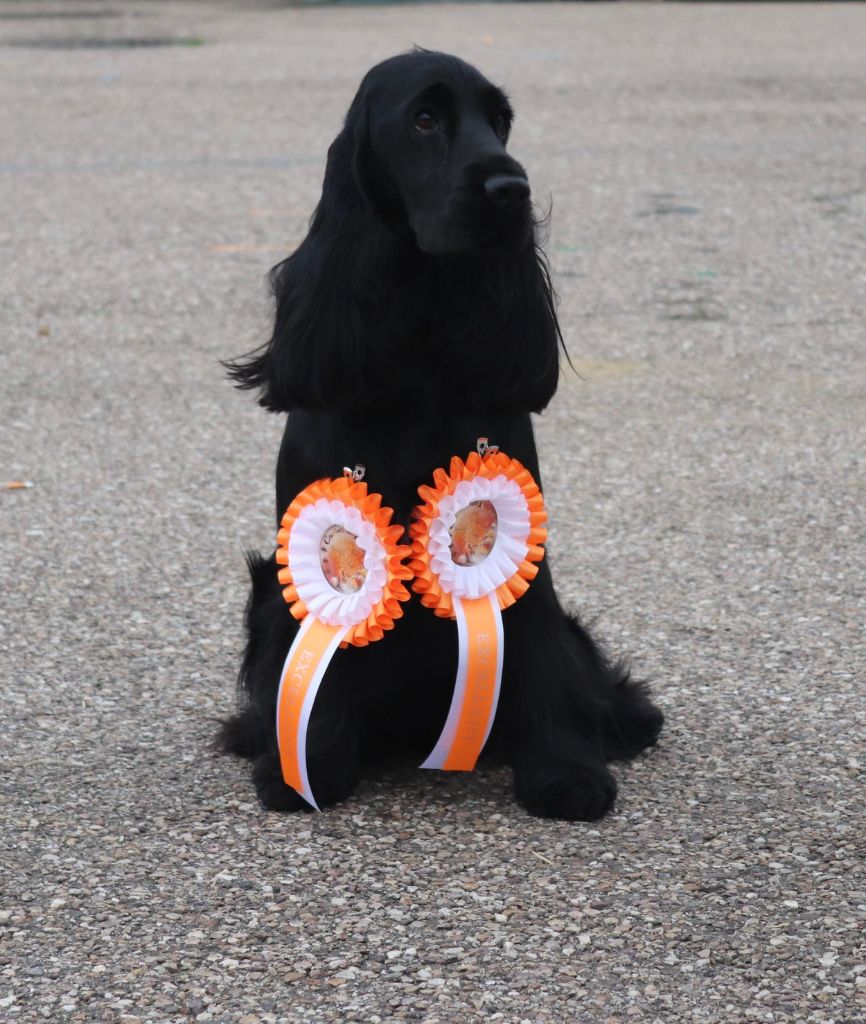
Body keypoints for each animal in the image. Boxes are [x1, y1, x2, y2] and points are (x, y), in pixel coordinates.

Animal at [217, 49, 663, 823]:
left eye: (501, 120)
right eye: (425, 118)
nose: (512, 189)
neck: (420, 340)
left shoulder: (524, 566)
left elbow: (540, 664)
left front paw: (566, 773)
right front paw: (306, 769)